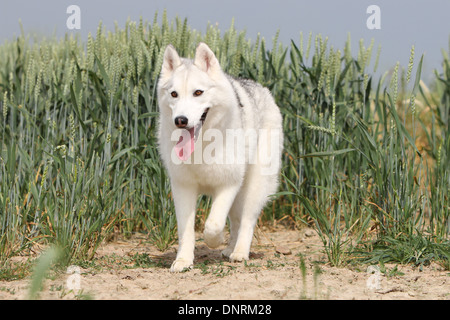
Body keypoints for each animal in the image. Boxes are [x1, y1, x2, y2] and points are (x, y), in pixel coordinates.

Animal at [156, 42, 284, 272]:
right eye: (174, 94)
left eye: (198, 92)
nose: (181, 120)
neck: (203, 145)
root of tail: (261, 88)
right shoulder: (183, 187)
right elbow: (186, 230)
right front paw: (183, 260)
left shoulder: (229, 184)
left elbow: (213, 225)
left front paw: (214, 241)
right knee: (236, 221)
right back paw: (230, 249)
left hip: (253, 187)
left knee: (246, 221)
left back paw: (240, 252)